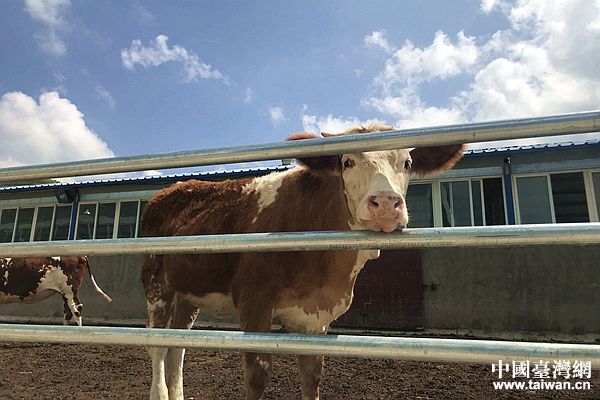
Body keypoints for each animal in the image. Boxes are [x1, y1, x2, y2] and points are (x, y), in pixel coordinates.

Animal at [139, 123, 464, 398]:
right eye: (347, 162)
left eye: (407, 163)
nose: (385, 202)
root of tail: (172, 188)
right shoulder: (255, 303)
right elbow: (257, 377)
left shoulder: (315, 319)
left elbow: (312, 377)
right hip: (155, 283)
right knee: (157, 345)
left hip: (187, 292)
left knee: (176, 346)